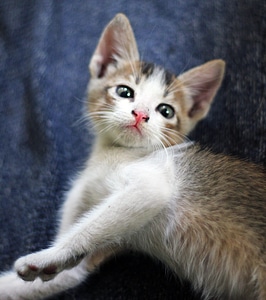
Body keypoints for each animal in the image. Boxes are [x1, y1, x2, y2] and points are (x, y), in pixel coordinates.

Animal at [0, 14, 264, 300]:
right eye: (125, 92)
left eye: (166, 111)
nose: (141, 114)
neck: (115, 154)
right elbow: (67, 274)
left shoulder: (153, 182)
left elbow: (96, 222)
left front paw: (49, 255)